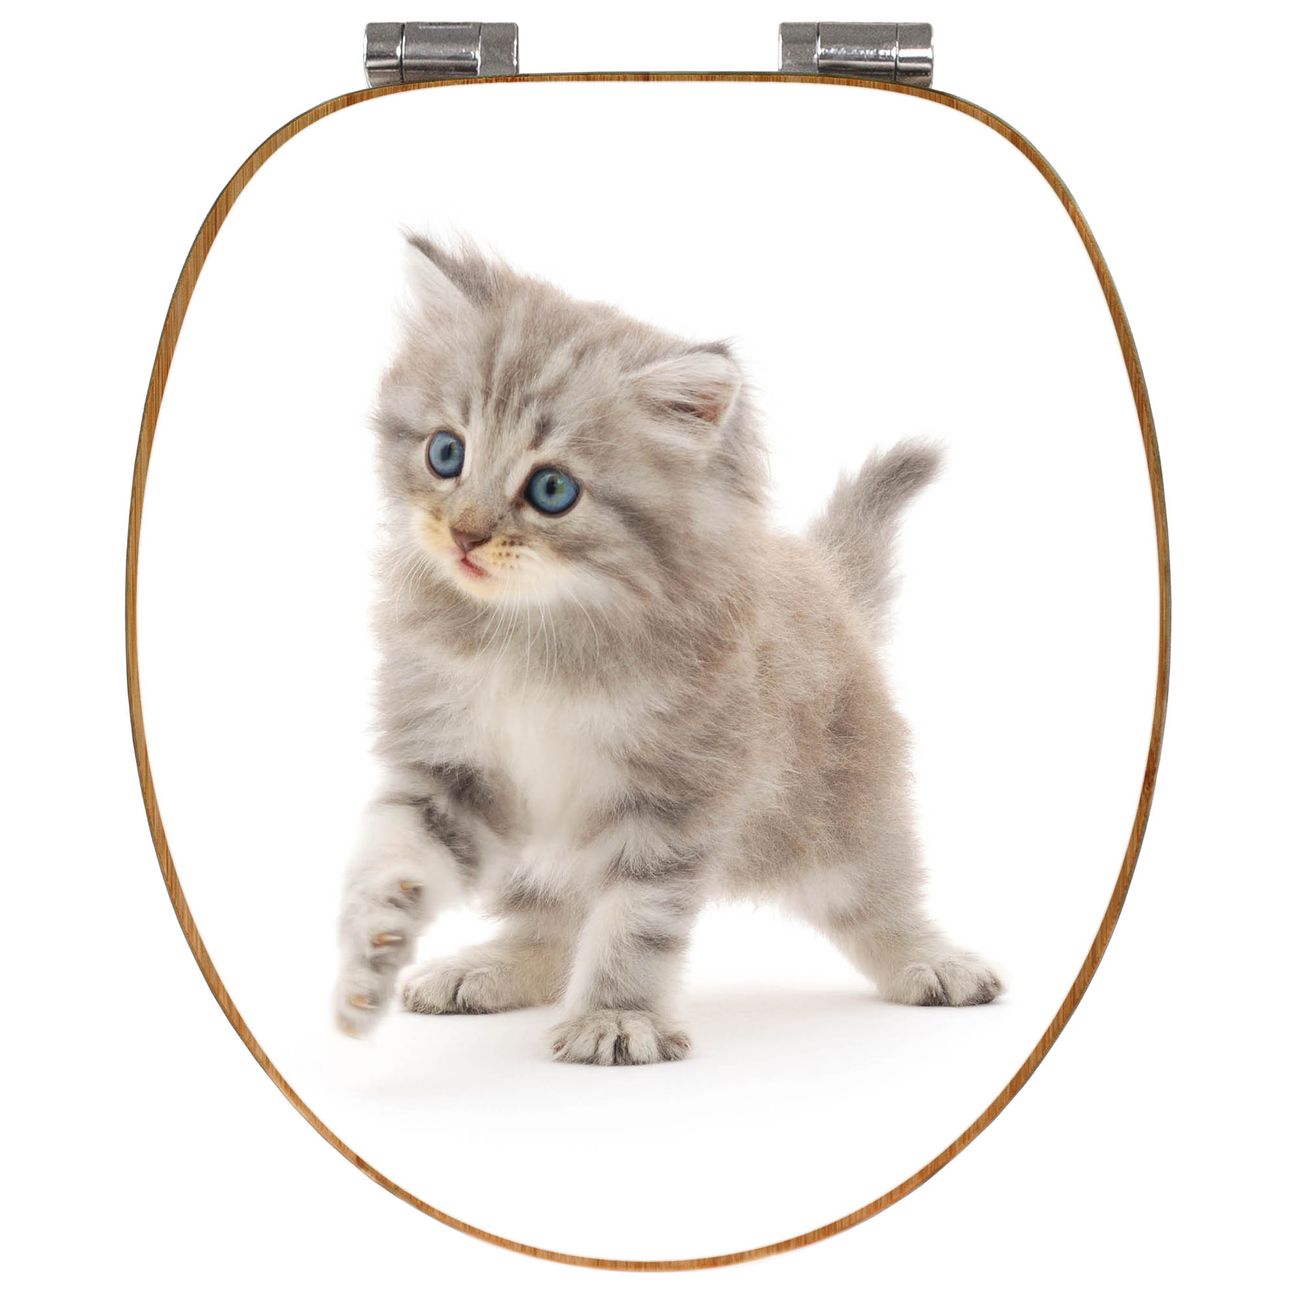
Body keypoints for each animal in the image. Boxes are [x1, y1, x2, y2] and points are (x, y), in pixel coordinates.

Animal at [332, 235, 1002, 1065]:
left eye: (551, 490)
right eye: (445, 453)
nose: (465, 535)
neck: (531, 630)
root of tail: (826, 579)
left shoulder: (675, 792)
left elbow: (635, 919)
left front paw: (617, 1016)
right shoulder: (447, 760)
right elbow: (400, 856)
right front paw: (370, 959)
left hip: (844, 802)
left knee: (875, 894)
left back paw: (928, 960)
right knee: (551, 921)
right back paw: (494, 967)